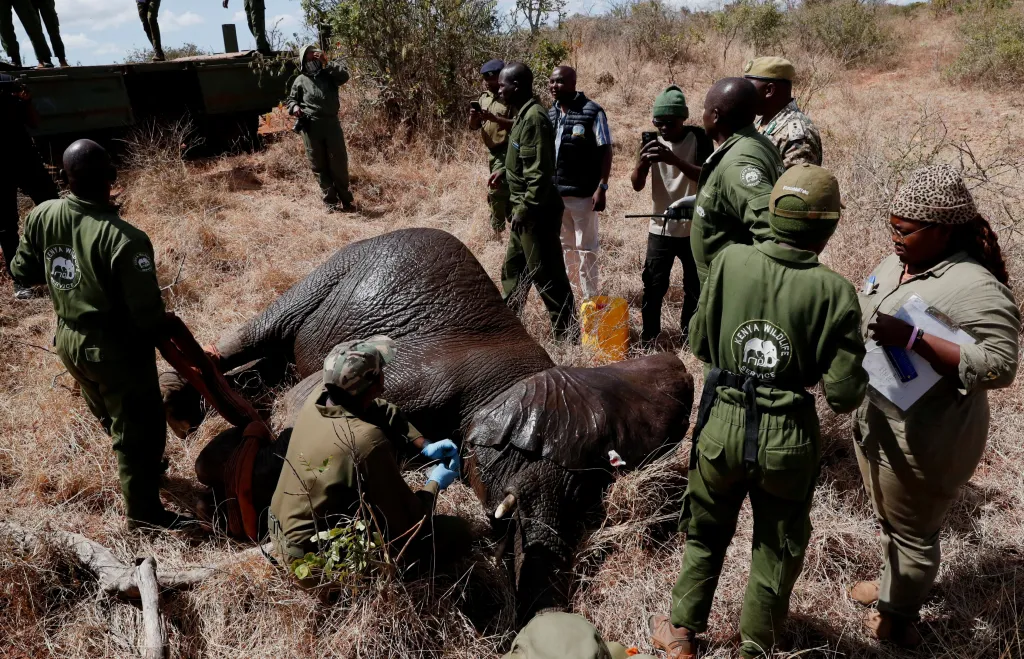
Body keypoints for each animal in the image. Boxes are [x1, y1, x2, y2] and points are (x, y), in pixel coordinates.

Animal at [165, 229, 696, 622]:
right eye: (522, 451)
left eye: (588, 496)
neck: (512, 379)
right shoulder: (421, 371)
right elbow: (306, 408)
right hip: (335, 270)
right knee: (263, 332)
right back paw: (183, 405)